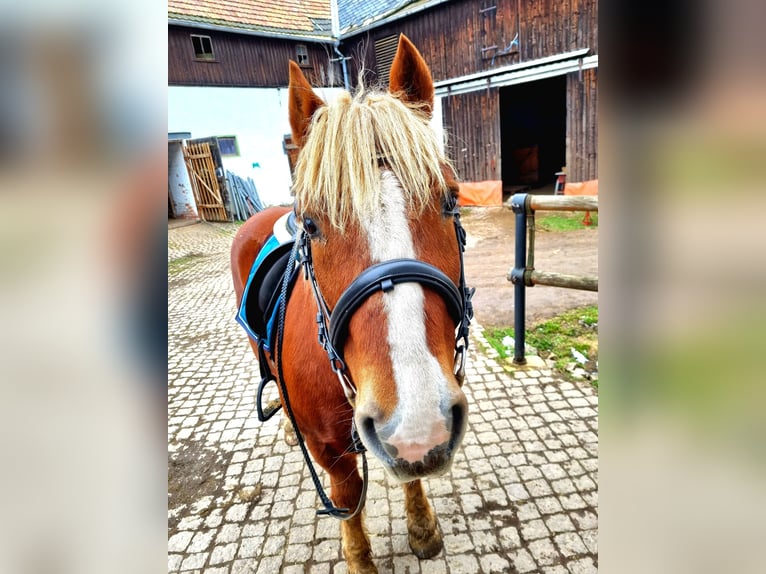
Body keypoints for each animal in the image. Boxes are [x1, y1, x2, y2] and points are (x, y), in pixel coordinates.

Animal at [231, 35, 473, 573]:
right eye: (312, 224)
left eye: (450, 200)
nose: (417, 419)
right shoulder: (329, 450)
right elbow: (347, 494)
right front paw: (359, 557)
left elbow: (409, 473)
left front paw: (421, 525)